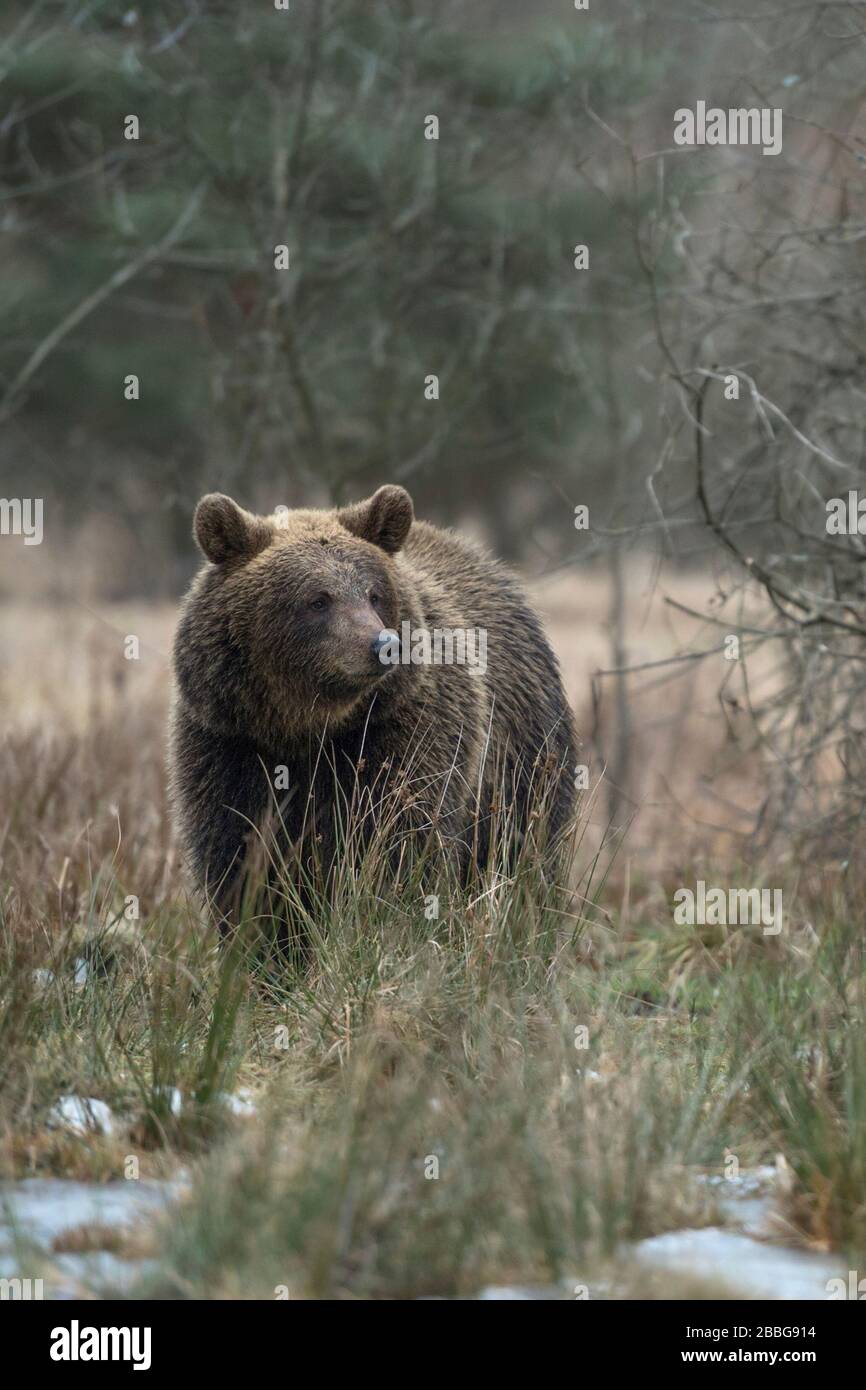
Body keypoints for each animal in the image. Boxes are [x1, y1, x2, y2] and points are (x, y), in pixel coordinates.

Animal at [168, 484, 575, 940]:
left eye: (374, 594)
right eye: (318, 599)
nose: (383, 644)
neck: (305, 728)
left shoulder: (401, 733)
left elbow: (396, 842)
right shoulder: (228, 744)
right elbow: (238, 859)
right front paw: (260, 945)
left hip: (522, 761)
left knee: (524, 856)